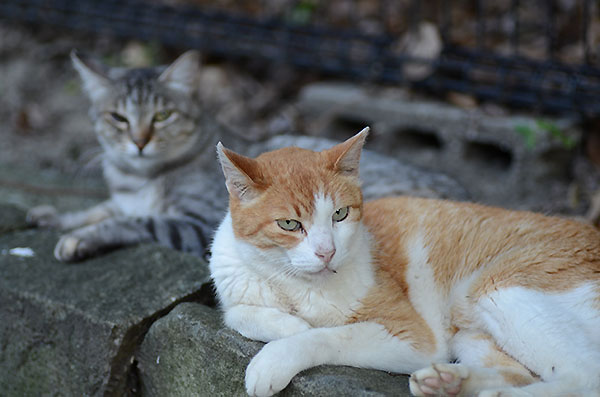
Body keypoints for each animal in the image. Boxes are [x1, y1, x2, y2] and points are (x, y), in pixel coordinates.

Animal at [25, 50, 229, 260]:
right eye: (118, 117)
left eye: (162, 115)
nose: (139, 142)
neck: (139, 179)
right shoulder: (122, 203)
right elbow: (98, 210)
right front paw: (56, 217)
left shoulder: (201, 223)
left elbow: (137, 221)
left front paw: (80, 237)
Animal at [207, 127, 600, 396]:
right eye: (289, 224)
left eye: (339, 214)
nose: (326, 251)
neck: (293, 284)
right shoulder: (236, 288)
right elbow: (239, 314)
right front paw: (289, 323)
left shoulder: (413, 336)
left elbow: (326, 336)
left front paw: (276, 356)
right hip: (471, 334)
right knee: (524, 374)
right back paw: (448, 384)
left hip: (499, 287)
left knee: (584, 377)